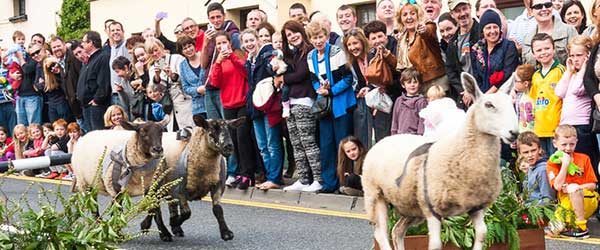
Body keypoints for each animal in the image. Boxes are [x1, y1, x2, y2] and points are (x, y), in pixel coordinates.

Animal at [364, 73, 516, 250]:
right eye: (489, 105)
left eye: (512, 103)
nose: (514, 132)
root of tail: (383, 139)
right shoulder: (432, 209)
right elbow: (436, 244)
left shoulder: (476, 207)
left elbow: (482, 234)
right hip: (375, 195)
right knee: (381, 234)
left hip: (411, 206)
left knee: (397, 231)